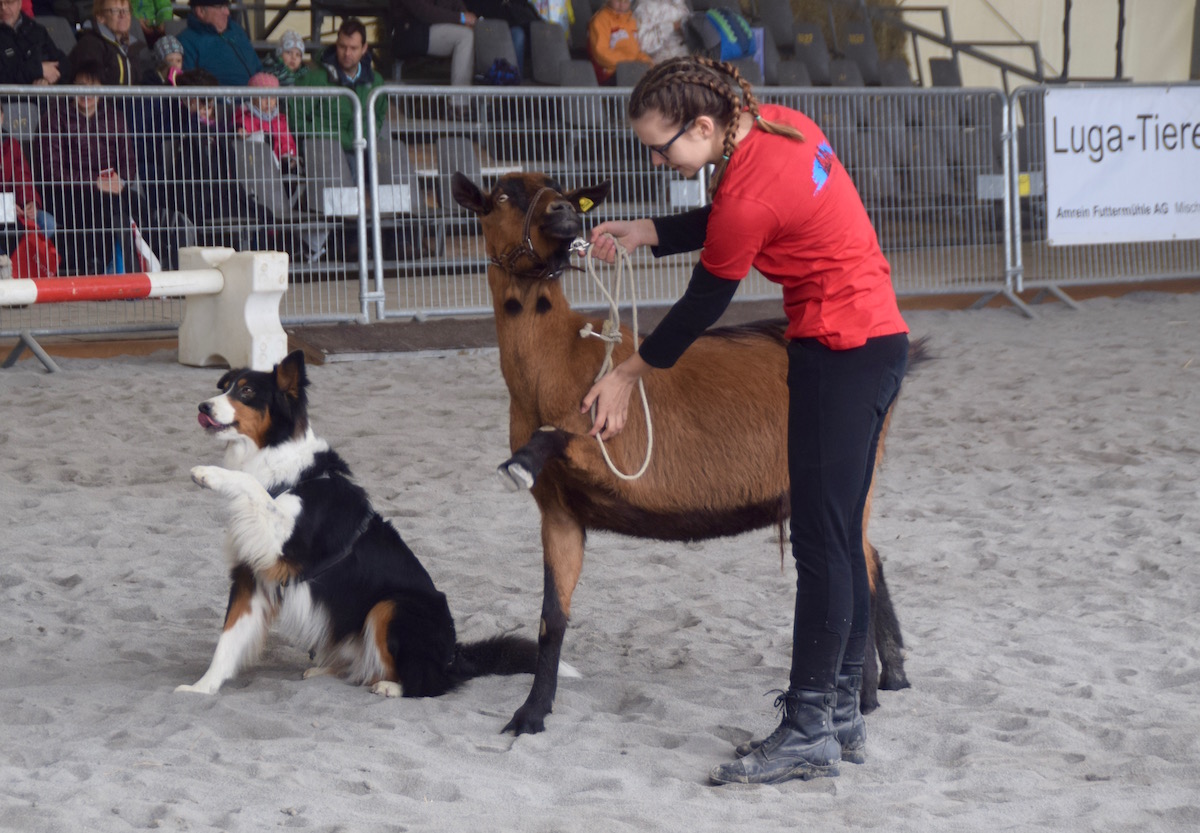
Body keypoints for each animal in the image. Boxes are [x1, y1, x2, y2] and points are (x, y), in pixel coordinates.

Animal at [451, 171, 907, 739]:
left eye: (561, 190)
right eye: (502, 195)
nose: (564, 214)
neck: (553, 362)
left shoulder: (614, 444)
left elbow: (565, 434)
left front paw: (519, 465)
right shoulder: (559, 512)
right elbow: (551, 619)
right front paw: (531, 713)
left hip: (847, 476)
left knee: (859, 571)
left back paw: (864, 698)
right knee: (870, 561)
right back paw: (889, 677)